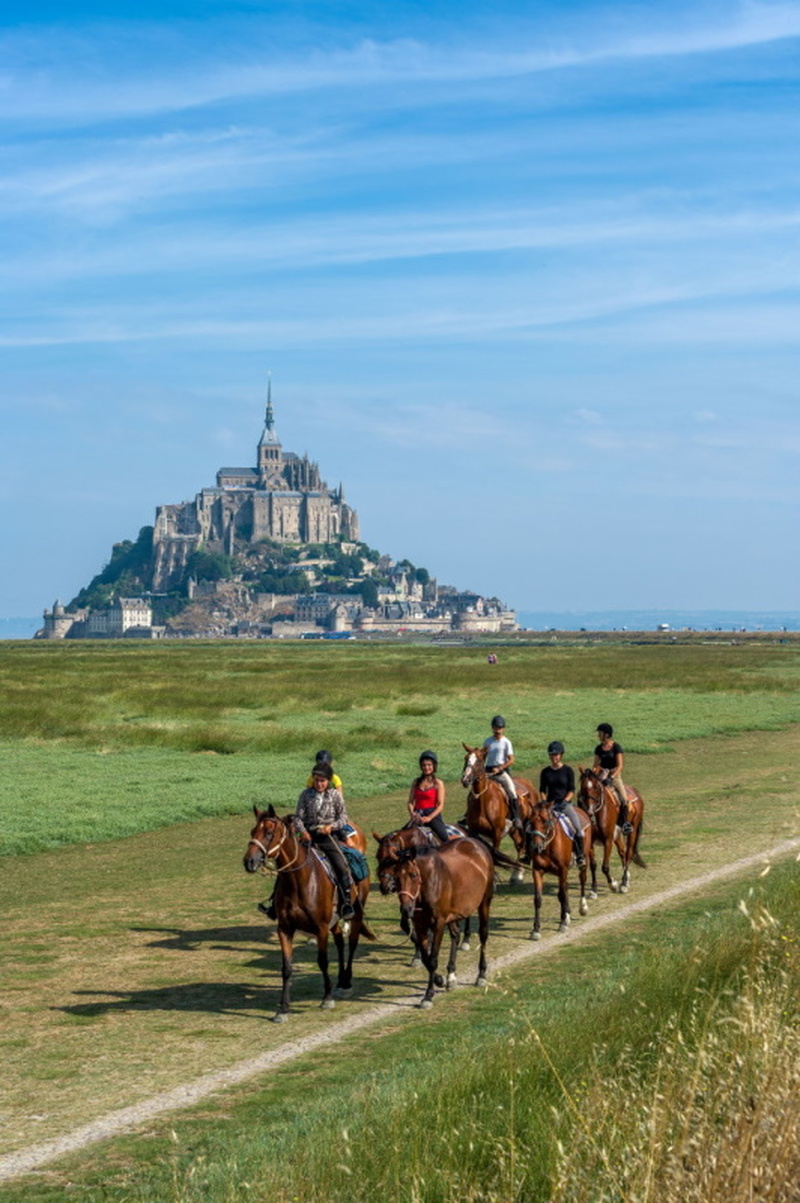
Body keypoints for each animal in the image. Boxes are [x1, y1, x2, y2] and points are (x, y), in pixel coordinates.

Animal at [241, 808, 375, 1024]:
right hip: (334, 921)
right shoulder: (285, 929)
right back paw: (340, 981)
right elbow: (286, 968)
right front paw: (282, 1009)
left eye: (268, 833)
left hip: (356, 913)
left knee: (352, 943)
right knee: (340, 942)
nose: (249, 862)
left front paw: (327, 998)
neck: (298, 880)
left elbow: (323, 961)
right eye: (253, 831)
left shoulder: (320, 928)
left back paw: (346, 982)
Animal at [382, 837, 493, 1005]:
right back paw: (451, 976)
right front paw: (439, 980)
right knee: (455, 935)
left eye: (413, 875)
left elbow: (433, 959)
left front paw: (428, 995)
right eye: (396, 877)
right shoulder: (420, 924)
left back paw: (481, 975)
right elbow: (426, 958)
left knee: (483, 935)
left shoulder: (439, 923)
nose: (406, 909)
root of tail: (476, 843)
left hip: (484, 903)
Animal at [459, 736, 534, 880]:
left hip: (524, 825)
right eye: (466, 758)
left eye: (479, 760)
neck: (484, 801)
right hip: (513, 830)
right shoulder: (473, 831)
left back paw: (518, 874)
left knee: (522, 845)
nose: (465, 780)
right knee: (519, 845)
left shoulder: (497, 832)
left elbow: (494, 853)